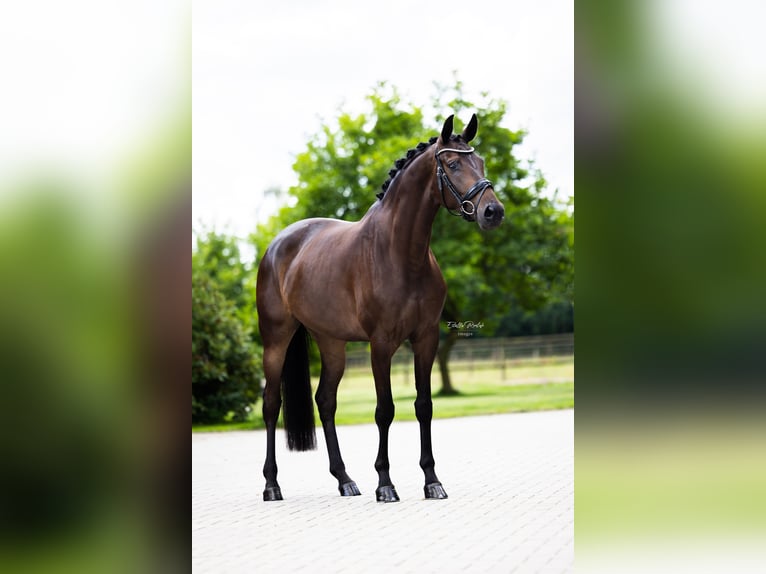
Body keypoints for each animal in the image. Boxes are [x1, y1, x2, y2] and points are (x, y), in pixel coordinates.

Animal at [258, 115, 508, 502]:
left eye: (479, 162)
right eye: (453, 164)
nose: (493, 212)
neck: (401, 253)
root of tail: (278, 245)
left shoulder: (426, 339)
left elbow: (424, 405)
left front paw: (432, 481)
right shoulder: (381, 343)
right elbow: (385, 410)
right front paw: (385, 484)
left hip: (331, 343)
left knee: (325, 401)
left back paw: (345, 480)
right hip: (275, 340)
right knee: (272, 404)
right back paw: (272, 485)